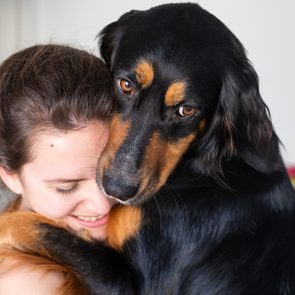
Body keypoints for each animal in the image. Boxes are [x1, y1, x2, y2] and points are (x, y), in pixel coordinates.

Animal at [0, 2, 295, 295]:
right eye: (125, 85)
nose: (117, 189)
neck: (199, 171)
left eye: (186, 110)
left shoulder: (129, 284)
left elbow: (38, 227)